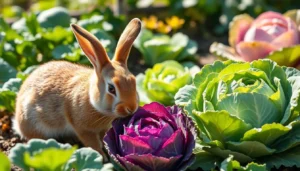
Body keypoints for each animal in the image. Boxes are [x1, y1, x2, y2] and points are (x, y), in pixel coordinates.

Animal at [13, 17, 142, 159]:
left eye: (134, 81)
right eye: (111, 88)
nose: (131, 108)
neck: (92, 101)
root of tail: (17, 122)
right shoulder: (82, 129)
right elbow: (92, 144)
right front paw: (102, 157)